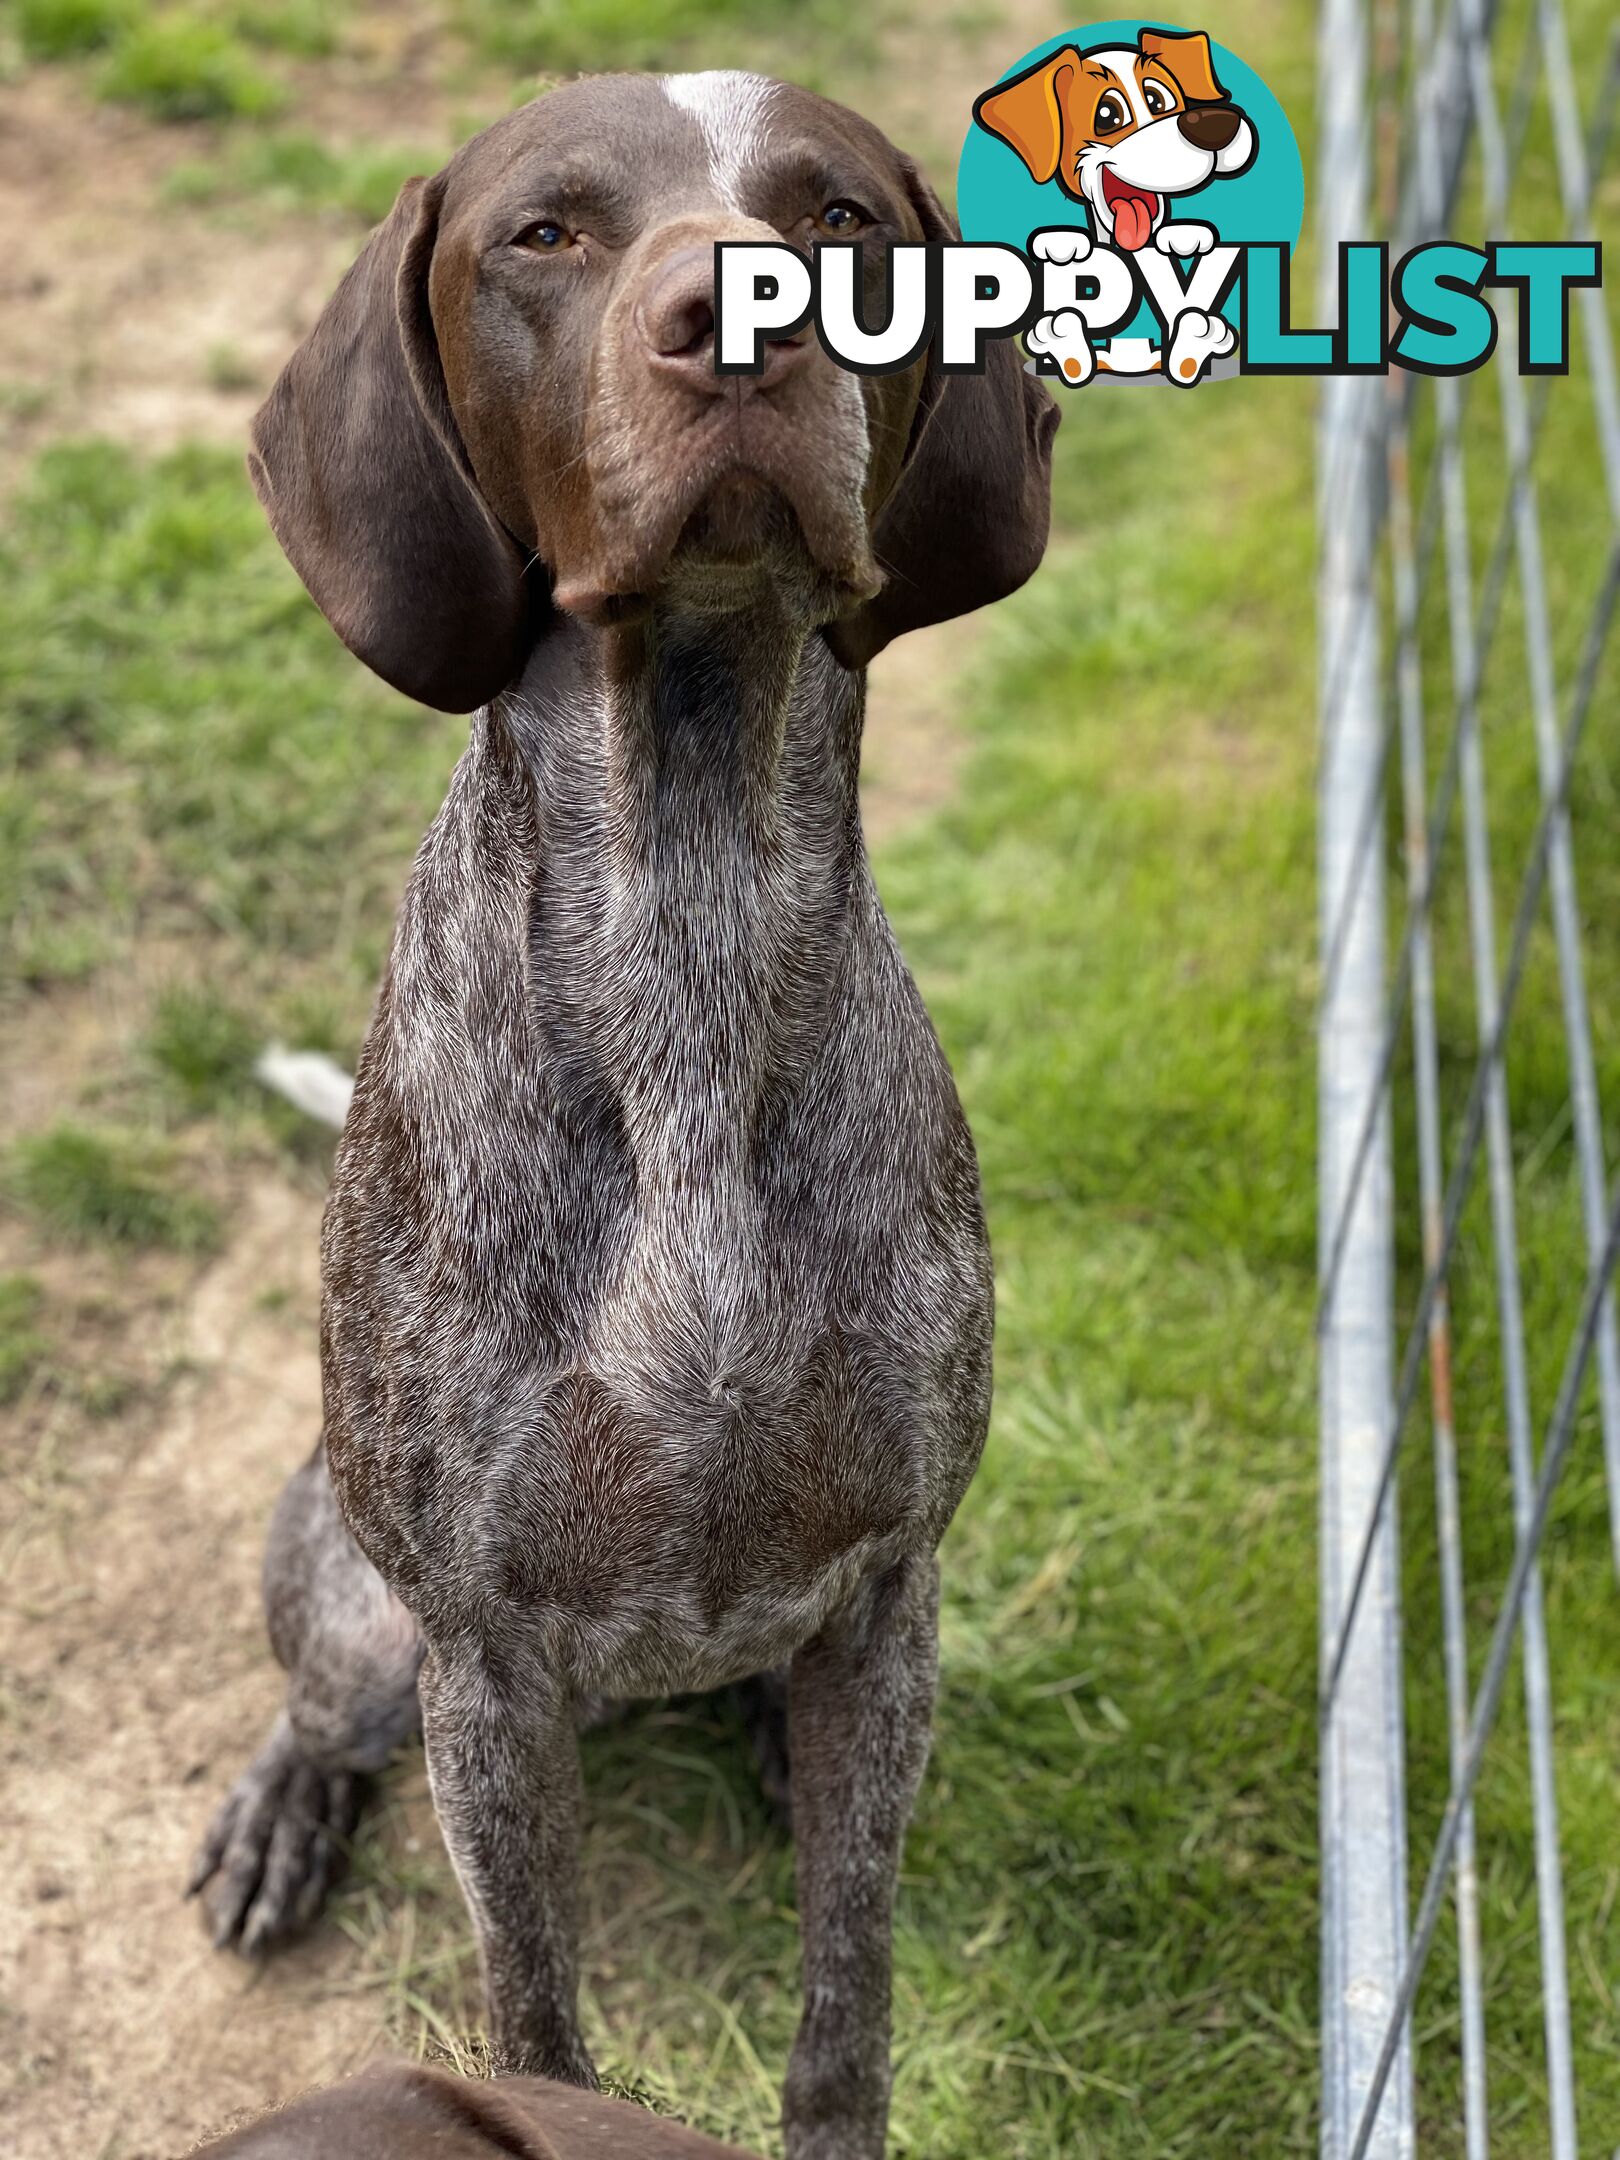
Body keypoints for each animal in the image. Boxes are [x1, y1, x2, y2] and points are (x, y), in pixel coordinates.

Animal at [190, 67, 1058, 2160]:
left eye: (839, 218)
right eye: (547, 232)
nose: (738, 318)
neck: (692, 924)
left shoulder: (887, 1592)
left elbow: (845, 1997)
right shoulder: (485, 1667)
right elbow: (531, 2014)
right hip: (369, 1636)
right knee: (317, 1709)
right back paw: (280, 1809)